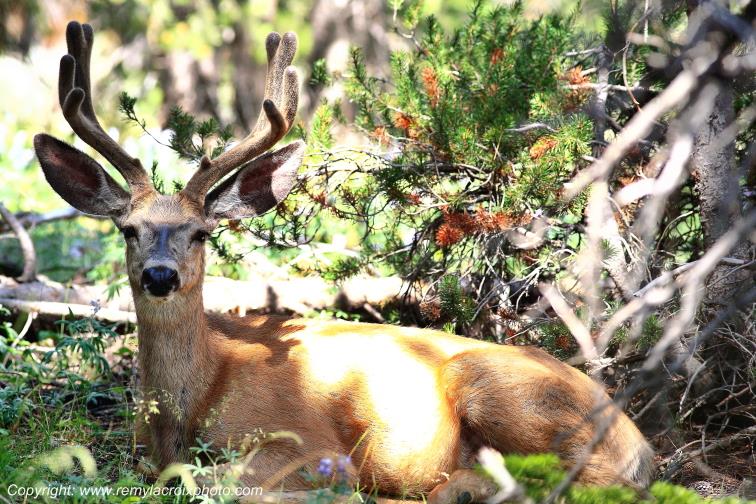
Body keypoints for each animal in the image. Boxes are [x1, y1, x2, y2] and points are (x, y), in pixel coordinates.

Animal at [33, 21, 654, 503]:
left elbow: (214, 480)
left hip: (501, 391)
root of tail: (635, 435)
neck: (187, 408)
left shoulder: (306, 444)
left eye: (201, 234)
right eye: (129, 229)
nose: (159, 275)